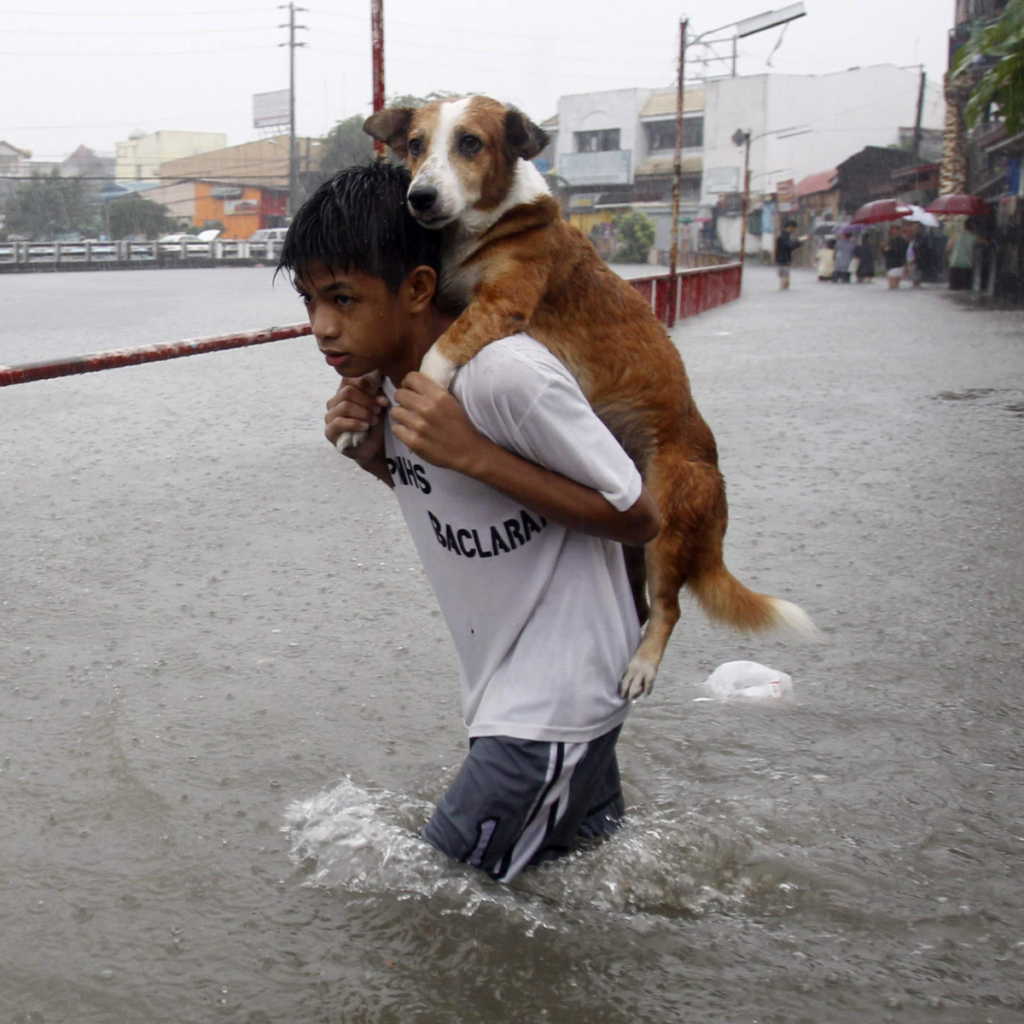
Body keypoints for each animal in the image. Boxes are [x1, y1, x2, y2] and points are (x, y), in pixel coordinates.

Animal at [360, 96, 815, 696]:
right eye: (415, 145)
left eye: (470, 143)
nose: (421, 198)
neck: (486, 226)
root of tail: (715, 485)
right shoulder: (448, 295)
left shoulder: (501, 302)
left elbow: (438, 351)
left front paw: (422, 393)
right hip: (635, 545)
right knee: (641, 603)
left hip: (665, 527)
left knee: (669, 609)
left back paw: (642, 667)